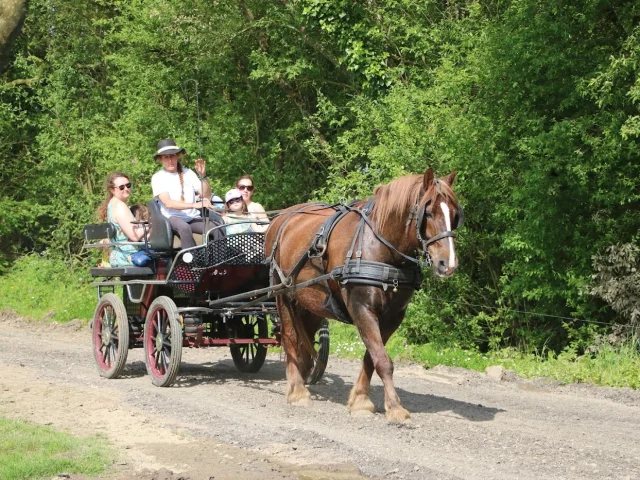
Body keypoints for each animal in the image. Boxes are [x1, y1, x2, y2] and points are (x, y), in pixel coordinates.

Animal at [262, 168, 462, 420]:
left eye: (454, 214)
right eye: (428, 212)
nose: (449, 264)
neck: (379, 247)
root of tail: (281, 218)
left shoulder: (393, 316)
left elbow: (372, 357)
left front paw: (360, 400)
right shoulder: (361, 308)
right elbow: (383, 360)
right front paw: (395, 407)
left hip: (310, 302)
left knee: (303, 342)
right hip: (283, 293)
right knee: (289, 336)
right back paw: (297, 391)